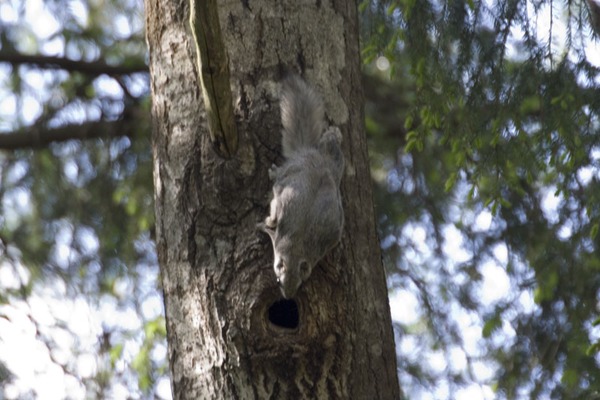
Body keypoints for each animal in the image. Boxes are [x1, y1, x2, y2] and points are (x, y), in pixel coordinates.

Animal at [258, 76, 346, 298]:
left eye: (300, 281)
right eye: (279, 278)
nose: (288, 295)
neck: (296, 247)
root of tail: (311, 156)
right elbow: (273, 221)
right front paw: (265, 224)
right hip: (292, 173)